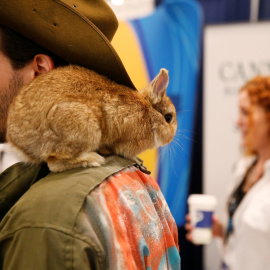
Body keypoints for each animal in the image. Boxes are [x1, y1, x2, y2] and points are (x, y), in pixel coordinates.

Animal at [6, 64, 177, 172]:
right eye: (168, 118)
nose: (171, 138)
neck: (148, 112)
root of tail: (18, 143)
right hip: (83, 126)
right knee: (54, 163)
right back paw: (93, 159)